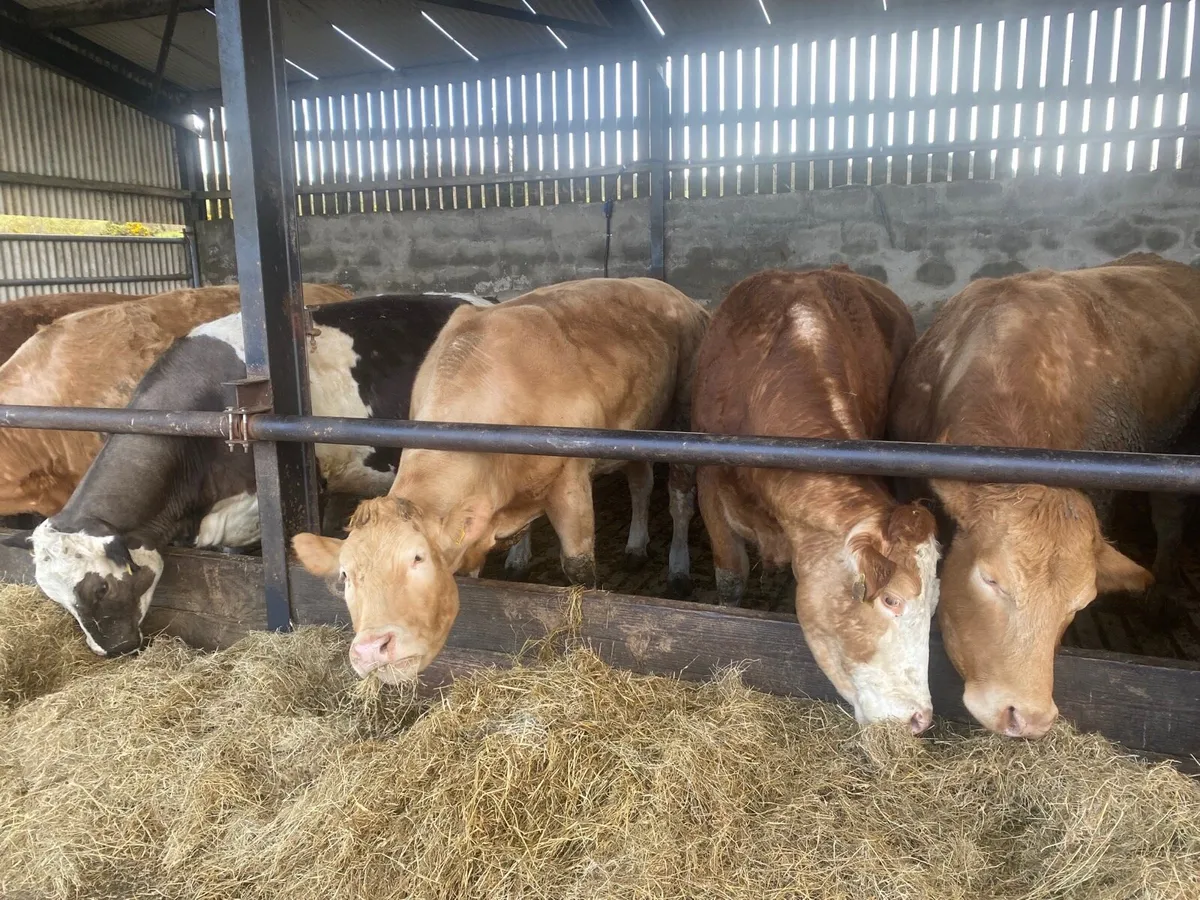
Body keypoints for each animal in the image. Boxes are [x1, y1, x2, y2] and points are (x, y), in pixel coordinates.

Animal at [290, 278, 710, 684]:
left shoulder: (571, 476)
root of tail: (669, 290)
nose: (370, 650)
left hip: (682, 417)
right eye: (345, 575)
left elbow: (579, 568)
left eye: (417, 558)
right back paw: (635, 546)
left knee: (678, 497)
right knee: (640, 483)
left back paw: (677, 568)